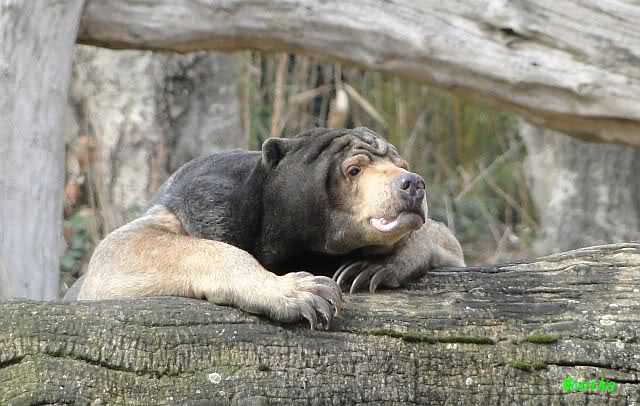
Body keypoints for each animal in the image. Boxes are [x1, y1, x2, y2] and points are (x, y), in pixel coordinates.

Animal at [66, 127, 465, 329]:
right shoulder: (206, 202)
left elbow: (446, 241)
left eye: (402, 165)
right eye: (353, 170)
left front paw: (369, 268)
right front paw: (304, 292)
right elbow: (118, 251)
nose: (413, 184)